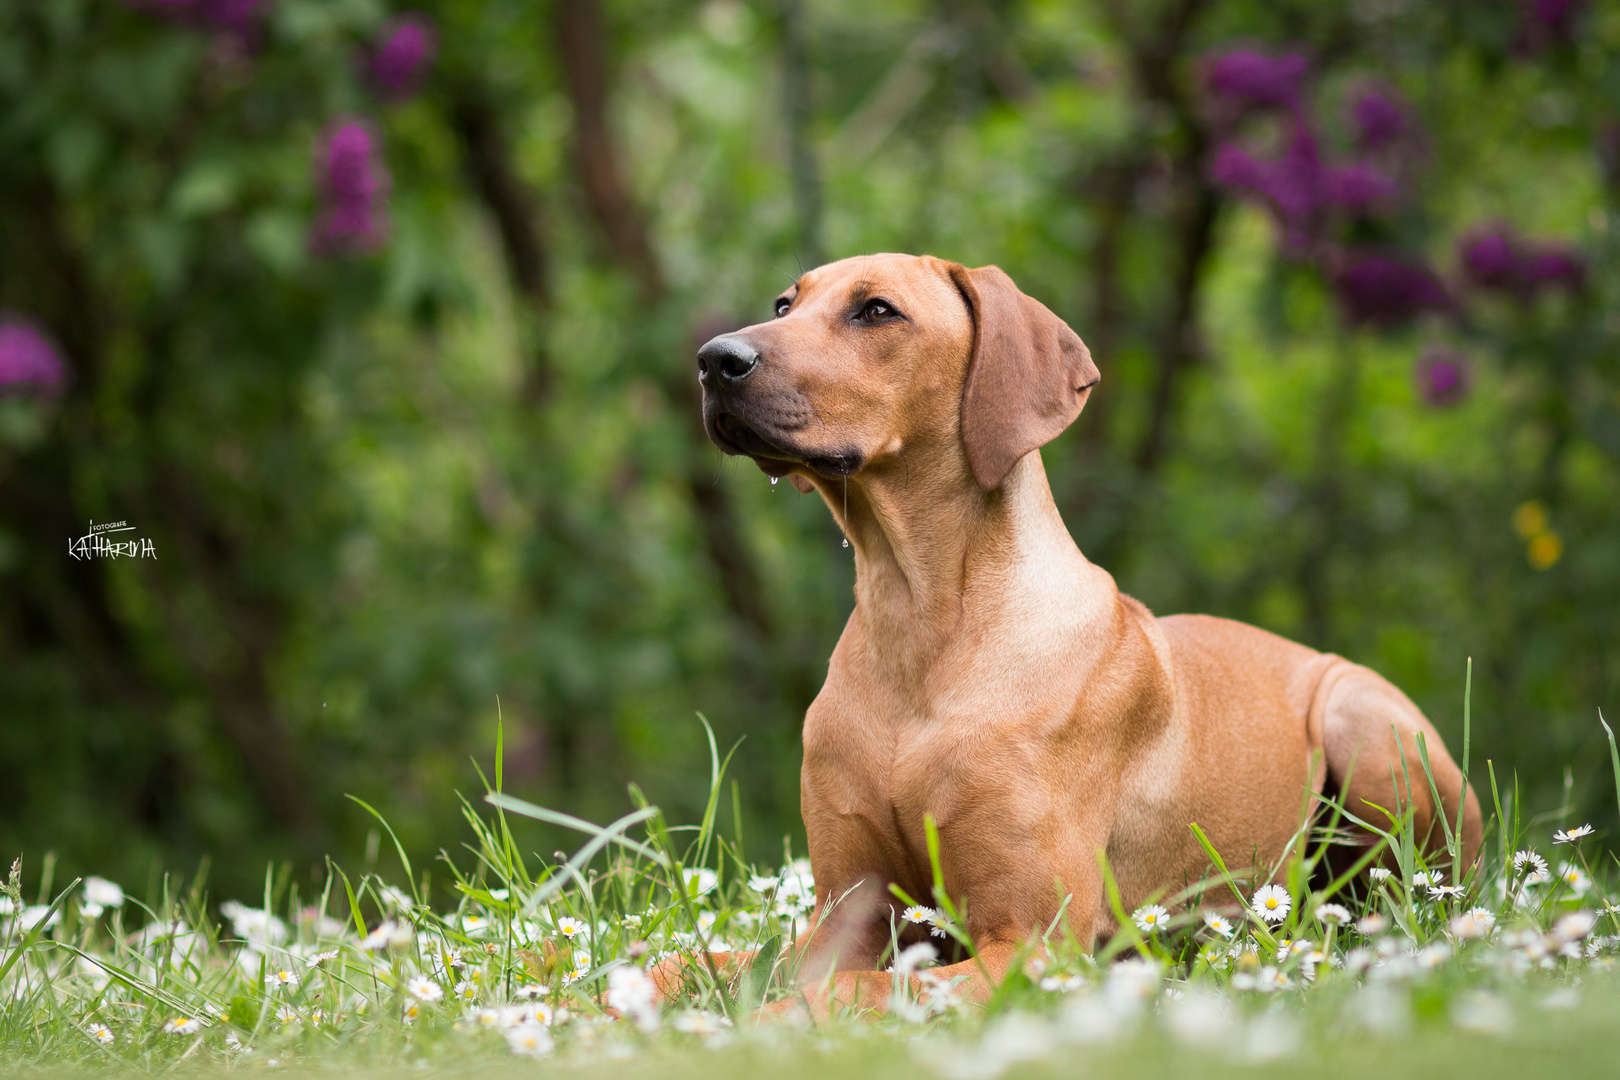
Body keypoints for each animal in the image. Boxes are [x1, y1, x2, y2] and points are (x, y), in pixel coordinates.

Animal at [683, 250, 1483, 1016]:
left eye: (877, 311)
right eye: (784, 305)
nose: (714, 358)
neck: (919, 620)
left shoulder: (1033, 941)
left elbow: (850, 990)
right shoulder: (841, 912)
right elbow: (702, 965)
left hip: (1366, 726)